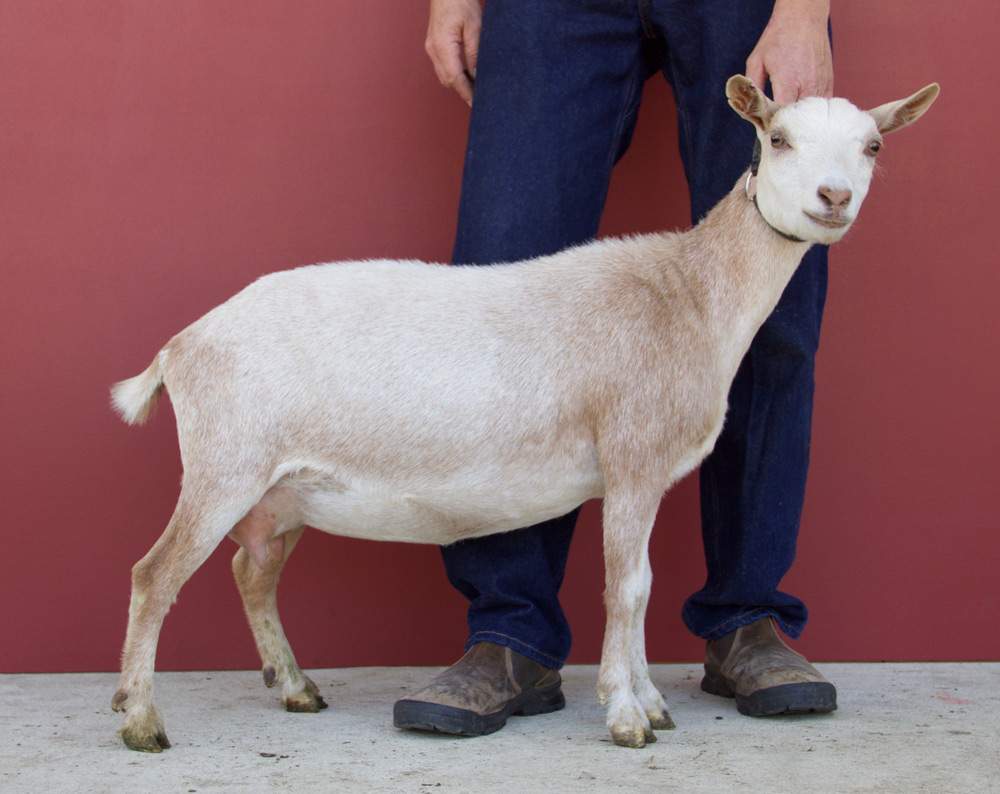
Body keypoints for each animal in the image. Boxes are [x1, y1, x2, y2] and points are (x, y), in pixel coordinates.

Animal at [109, 77, 936, 752]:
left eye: (872, 144)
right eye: (778, 138)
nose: (834, 198)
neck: (688, 295)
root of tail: (181, 346)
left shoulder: (644, 473)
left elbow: (642, 585)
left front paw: (651, 702)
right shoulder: (631, 453)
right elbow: (627, 587)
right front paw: (627, 717)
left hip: (282, 490)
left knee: (252, 572)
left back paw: (289, 687)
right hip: (227, 460)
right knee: (154, 575)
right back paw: (144, 720)